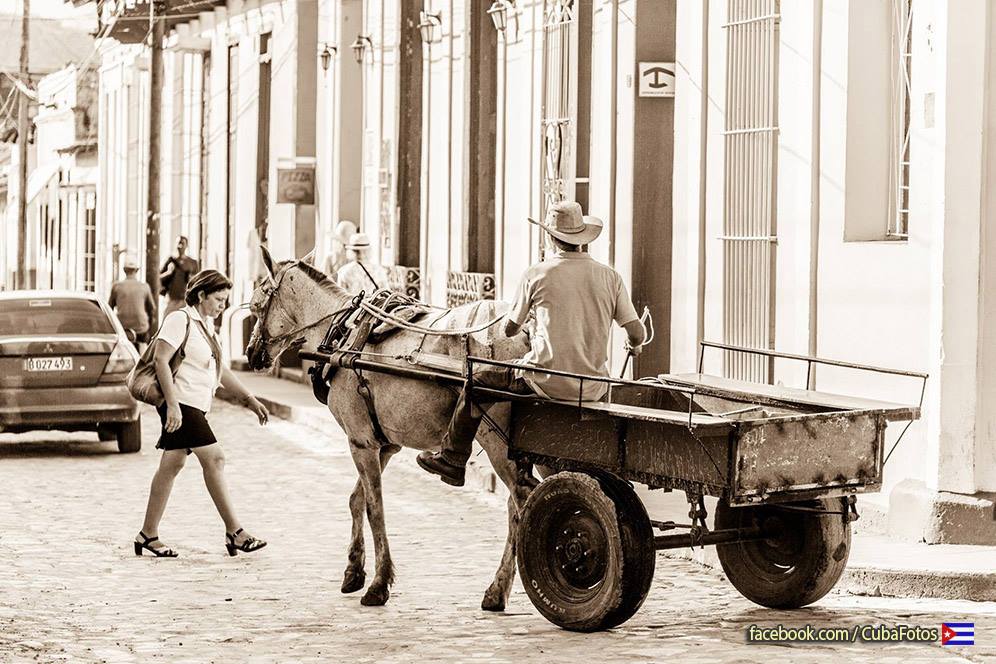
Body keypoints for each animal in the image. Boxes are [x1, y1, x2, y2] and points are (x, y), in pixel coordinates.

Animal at [242, 249, 536, 612]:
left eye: (257, 306)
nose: (252, 354)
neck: (342, 334)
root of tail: (526, 331)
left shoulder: (360, 442)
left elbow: (374, 509)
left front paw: (379, 584)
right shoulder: (383, 444)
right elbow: (355, 500)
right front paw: (353, 570)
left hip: (496, 440)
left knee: (523, 503)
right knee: (520, 502)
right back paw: (498, 590)